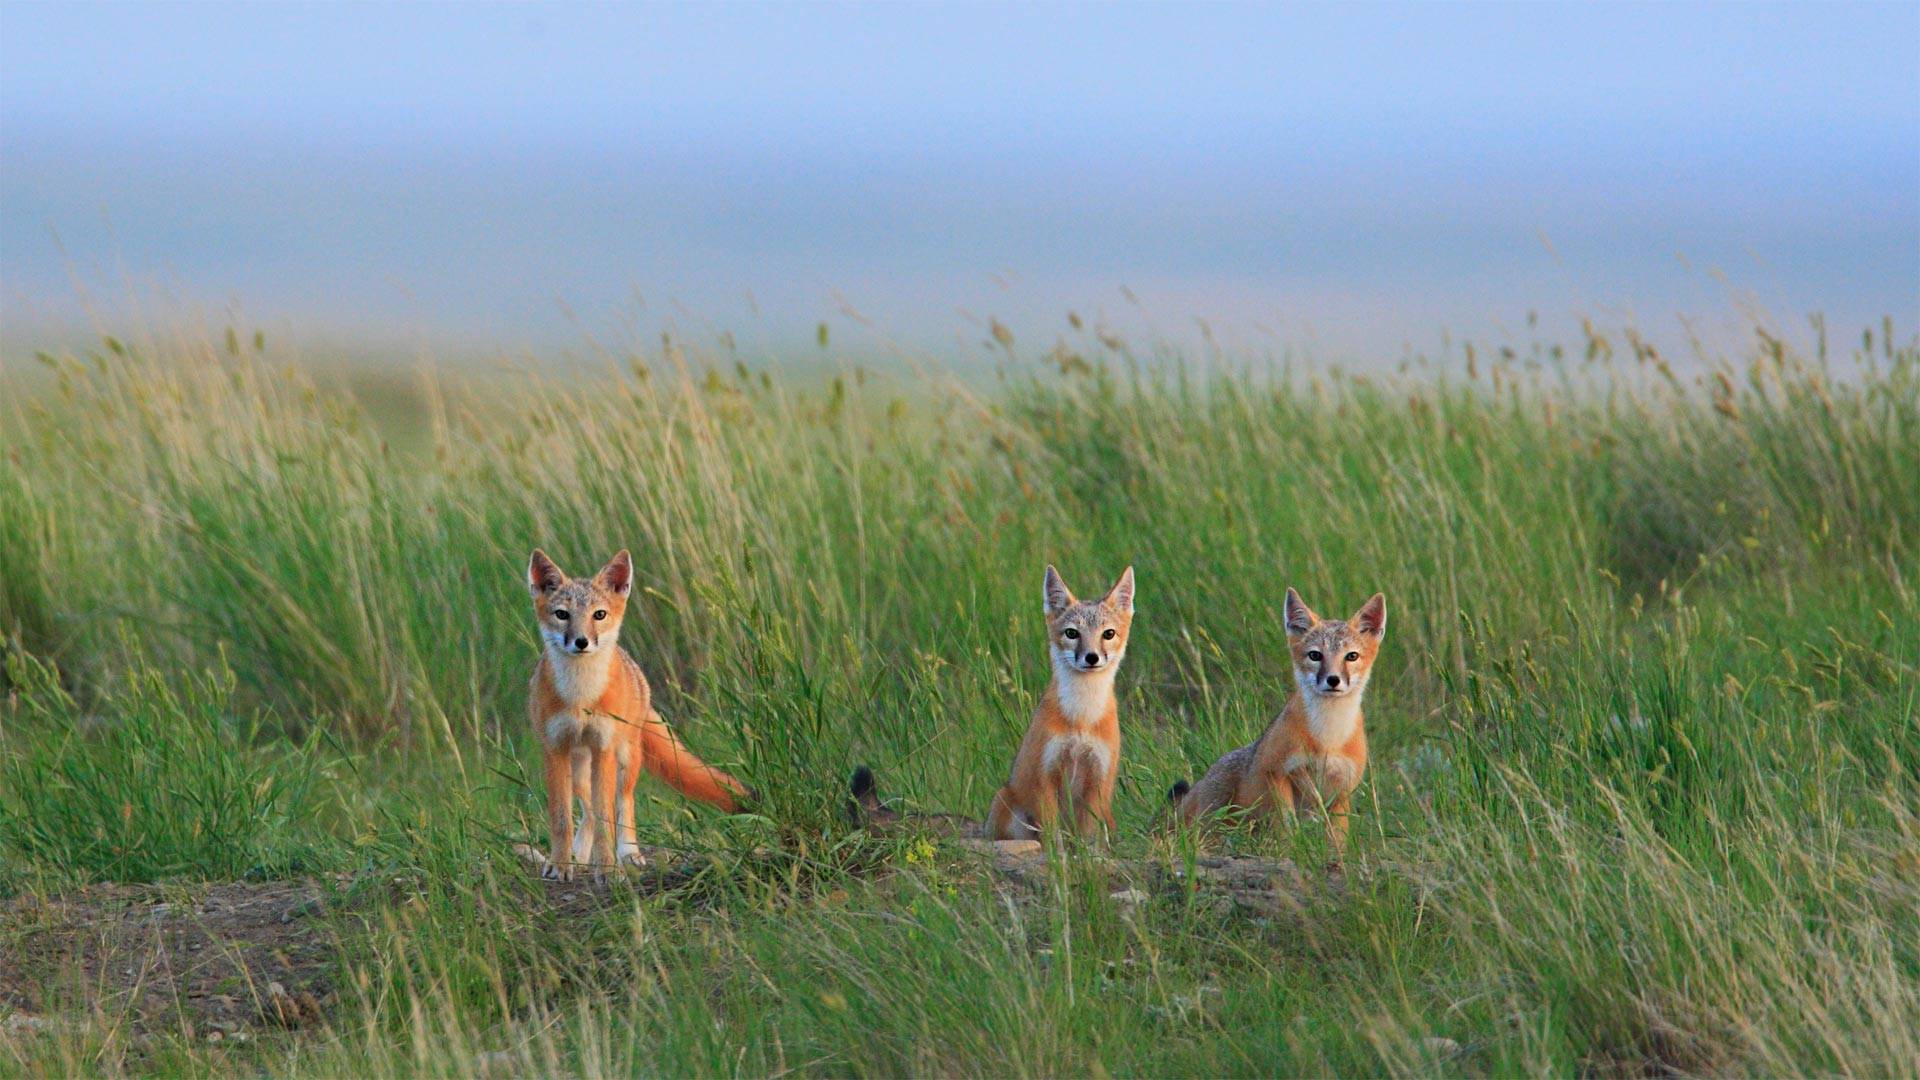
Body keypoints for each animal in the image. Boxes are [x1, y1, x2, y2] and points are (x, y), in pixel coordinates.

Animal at [526, 545, 748, 876]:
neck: (581, 696)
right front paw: (560, 865)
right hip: (579, 769)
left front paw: (607, 869)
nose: (581, 642)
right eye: (562, 615)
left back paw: (628, 853)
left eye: (599, 615)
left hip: (624, 760)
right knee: (588, 812)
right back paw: (580, 856)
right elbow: (562, 820)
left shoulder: (603, 747)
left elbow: (608, 819)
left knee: (622, 804)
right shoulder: (554, 750)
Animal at [983, 564, 1128, 841]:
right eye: (1072, 633)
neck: (1082, 717)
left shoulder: (1098, 779)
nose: (1091, 657)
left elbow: (1088, 838)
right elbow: (1053, 839)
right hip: (1007, 803)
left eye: (1108, 634)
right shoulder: (1045, 777)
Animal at [1167, 584, 1382, 853]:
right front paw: (1290, 852)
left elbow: (1337, 838)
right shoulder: (1277, 772)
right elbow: (1286, 826)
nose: (1333, 680)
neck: (1328, 738)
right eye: (1315, 656)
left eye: (1351, 656)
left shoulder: (1342, 790)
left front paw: (1337, 857)